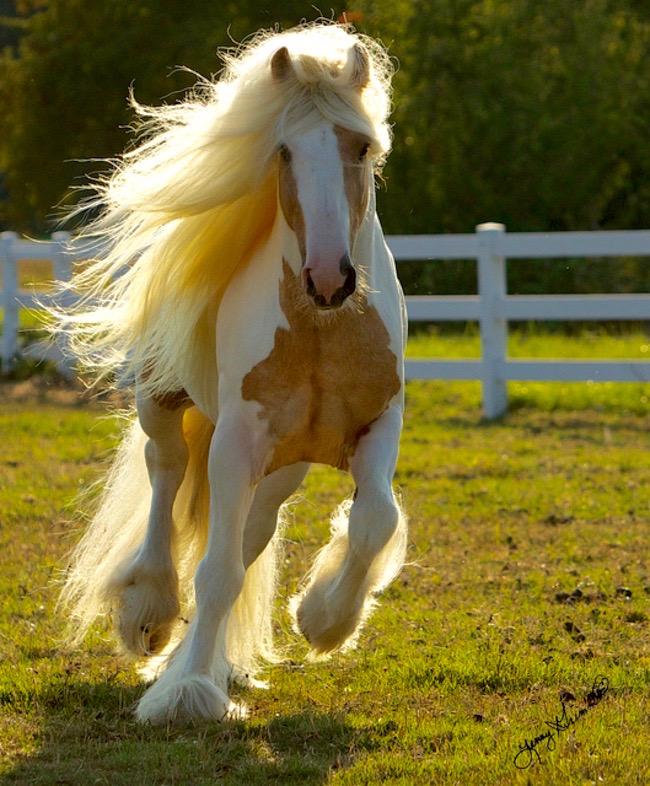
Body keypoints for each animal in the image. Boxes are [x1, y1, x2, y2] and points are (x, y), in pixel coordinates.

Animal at [58, 24, 408, 724]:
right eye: (284, 151)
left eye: (360, 146)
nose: (328, 278)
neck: (322, 331)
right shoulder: (237, 440)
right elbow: (215, 571)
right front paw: (188, 690)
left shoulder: (380, 424)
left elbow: (374, 521)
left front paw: (324, 620)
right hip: (164, 404)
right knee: (165, 474)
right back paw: (150, 614)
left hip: (281, 468)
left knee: (250, 533)